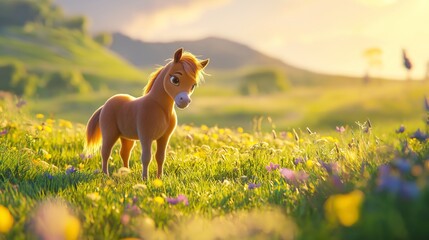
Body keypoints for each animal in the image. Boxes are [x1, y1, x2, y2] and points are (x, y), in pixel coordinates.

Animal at [85, 48, 209, 179]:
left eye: (193, 85)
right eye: (175, 79)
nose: (184, 101)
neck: (160, 108)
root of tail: (105, 105)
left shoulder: (164, 137)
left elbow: (160, 157)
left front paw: (159, 178)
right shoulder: (146, 136)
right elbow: (146, 157)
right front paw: (145, 179)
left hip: (126, 136)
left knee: (124, 153)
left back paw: (126, 173)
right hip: (110, 133)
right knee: (105, 152)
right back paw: (106, 175)